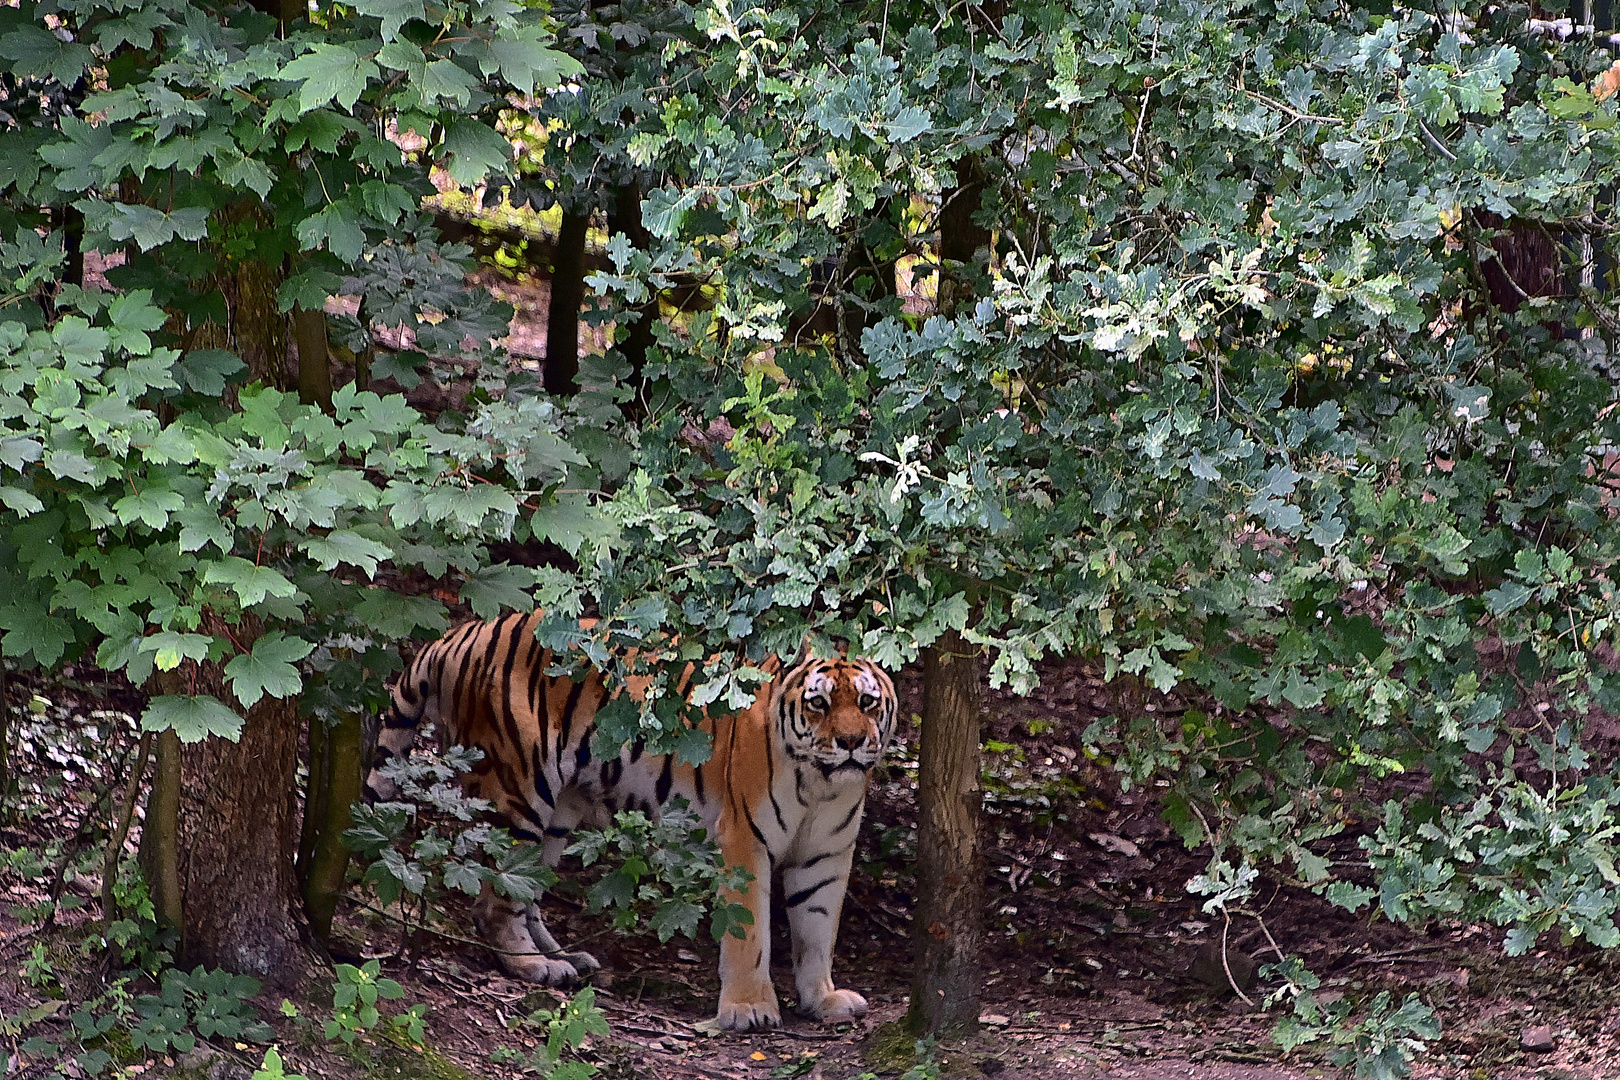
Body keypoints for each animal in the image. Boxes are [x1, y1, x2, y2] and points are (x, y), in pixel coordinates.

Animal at [364, 612, 900, 1036]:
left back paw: (565, 960)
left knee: (529, 890)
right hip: (518, 787)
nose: (852, 742)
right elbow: (749, 935)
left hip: (559, 813)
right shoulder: (744, 841)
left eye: (867, 703)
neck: (823, 783)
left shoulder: (825, 855)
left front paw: (822, 999)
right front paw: (748, 1009)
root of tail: (459, 634)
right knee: (496, 898)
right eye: (819, 703)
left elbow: (818, 930)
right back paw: (533, 967)